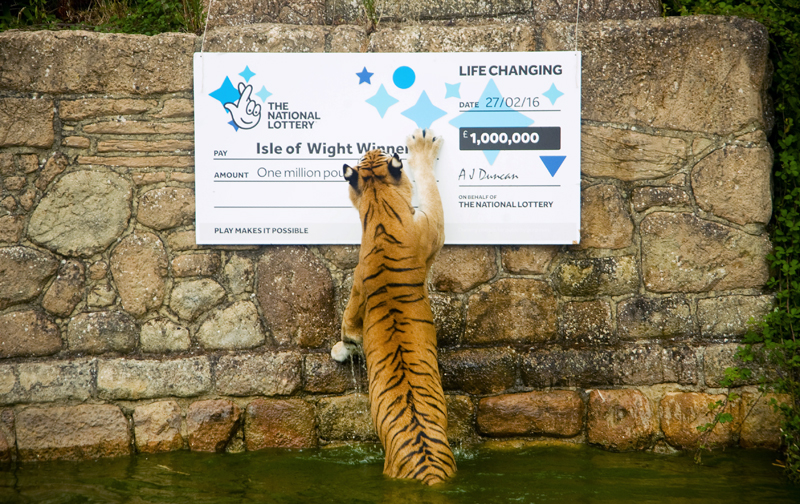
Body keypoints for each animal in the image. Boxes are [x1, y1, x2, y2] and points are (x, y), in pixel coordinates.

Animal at [330, 128, 455, 485]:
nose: (372, 146)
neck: (379, 206)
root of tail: (428, 469)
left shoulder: (356, 293)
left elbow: (348, 328)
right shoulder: (433, 225)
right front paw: (422, 146)